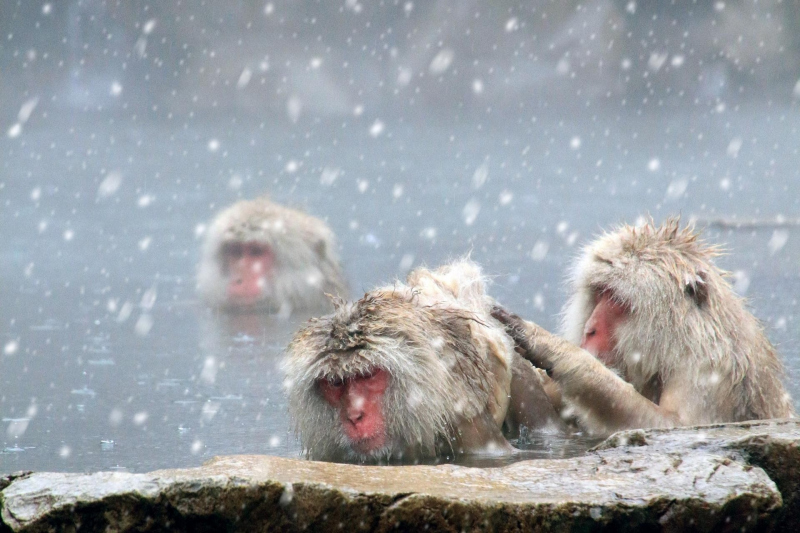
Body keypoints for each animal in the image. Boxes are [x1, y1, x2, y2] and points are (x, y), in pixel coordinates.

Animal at [494, 217, 792, 436]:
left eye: (616, 299)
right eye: (600, 292)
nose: (589, 329)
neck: (673, 344)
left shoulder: (710, 365)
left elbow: (675, 425)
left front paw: (555, 349)